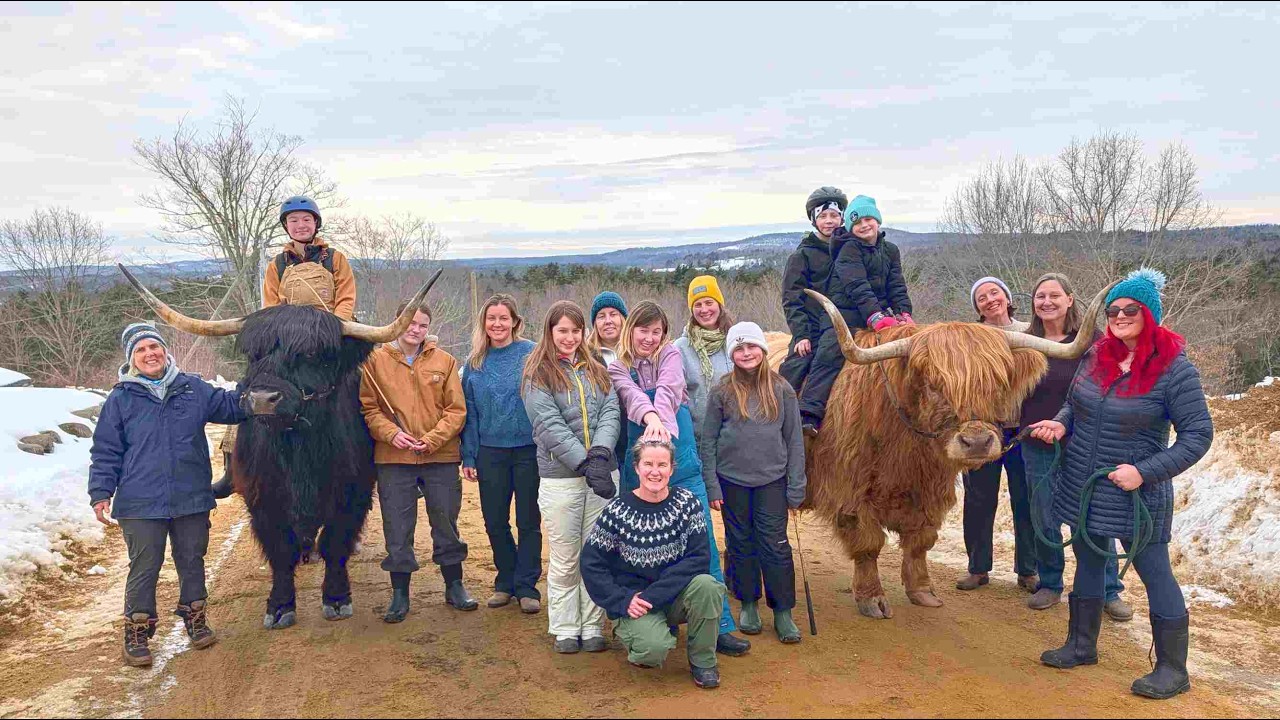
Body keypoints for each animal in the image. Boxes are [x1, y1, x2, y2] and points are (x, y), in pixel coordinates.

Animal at [117, 265, 441, 629]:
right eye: (252, 354)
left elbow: (335, 543)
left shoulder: (352, 495)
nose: (262, 399)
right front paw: (280, 605)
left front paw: (337, 598)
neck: (297, 451)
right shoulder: (262, 501)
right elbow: (279, 550)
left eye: (311, 354)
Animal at [775, 283, 1112, 619]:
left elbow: (920, 542)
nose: (977, 442)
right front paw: (872, 598)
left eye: (998, 382)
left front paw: (922, 591)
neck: (906, 449)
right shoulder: (850, 491)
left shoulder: (931, 491)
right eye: (933, 384)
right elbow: (868, 543)